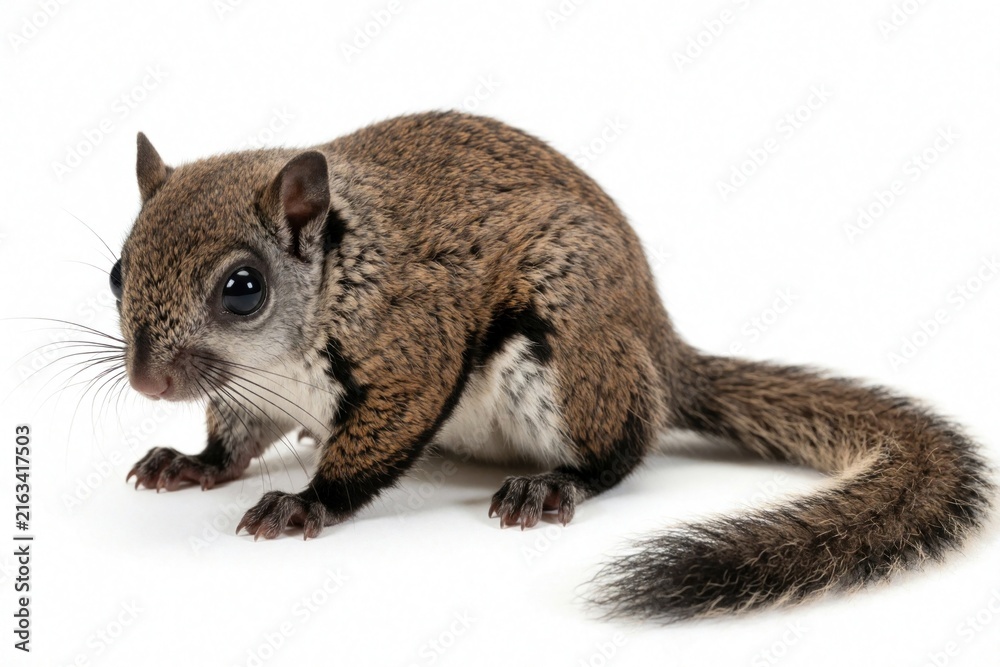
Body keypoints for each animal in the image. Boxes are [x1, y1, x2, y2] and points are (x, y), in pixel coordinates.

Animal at [117, 111, 992, 621]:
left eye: (243, 288)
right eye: (119, 271)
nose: (147, 382)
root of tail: (657, 344)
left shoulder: (411, 349)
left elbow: (375, 441)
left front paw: (306, 502)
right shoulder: (254, 393)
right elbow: (232, 437)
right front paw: (190, 460)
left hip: (567, 344)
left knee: (623, 444)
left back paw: (553, 483)